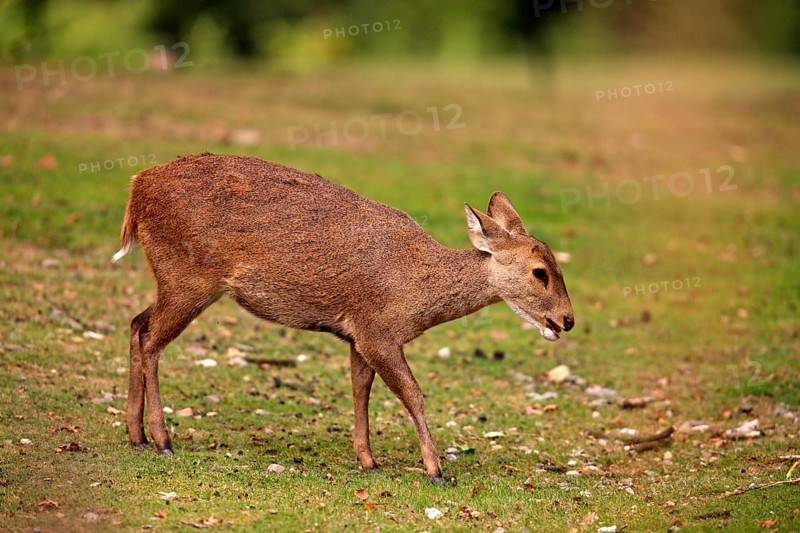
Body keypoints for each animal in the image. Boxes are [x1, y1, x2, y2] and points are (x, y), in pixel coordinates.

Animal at [112, 153, 574, 484]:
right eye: (541, 272)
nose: (567, 320)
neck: (417, 292)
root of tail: (136, 189)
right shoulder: (378, 331)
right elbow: (413, 394)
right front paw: (436, 470)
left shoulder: (356, 334)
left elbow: (360, 389)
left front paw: (368, 459)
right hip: (187, 278)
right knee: (151, 339)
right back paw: (162, 438)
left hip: (175, 280)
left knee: (136, 323)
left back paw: (135, 435)